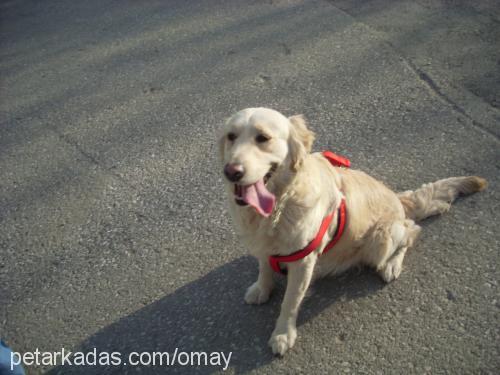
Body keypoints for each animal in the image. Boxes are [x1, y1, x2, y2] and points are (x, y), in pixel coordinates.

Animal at [217, 108, 486, 356]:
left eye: (262, 138)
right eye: (231, 136)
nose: (231, 171)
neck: (280, 203)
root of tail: (397, 198)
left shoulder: (303, 260)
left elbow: (290, 301)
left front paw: (283, 334)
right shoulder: (263, 245)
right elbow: (264, 266)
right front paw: (262, 288)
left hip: (381, 238)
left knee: (411, 230)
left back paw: (392, 265)